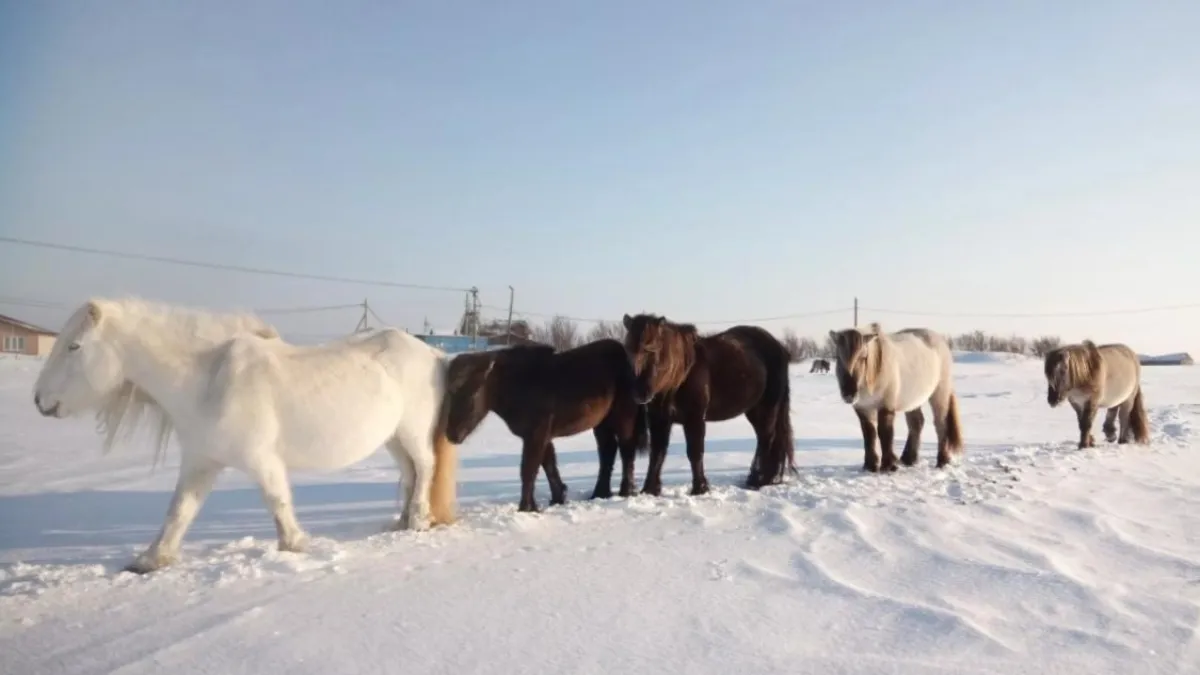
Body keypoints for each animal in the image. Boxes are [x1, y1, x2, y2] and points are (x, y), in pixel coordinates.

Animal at [32, 296, 456, 569]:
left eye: (74, 346)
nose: (39, 400)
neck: (208, 380)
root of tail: (432, 353)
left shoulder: (262, 459)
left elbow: (277, 502)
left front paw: (295, 546)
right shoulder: (201, 462)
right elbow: (179, 511)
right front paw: (151, 559)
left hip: (412, 432)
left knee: (425, 467)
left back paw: (417, 520)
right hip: (392, 438)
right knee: (410, 472)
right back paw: (401, 520)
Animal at [444, 338, 652, 511]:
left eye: (471, 394)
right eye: (449, 394)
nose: (452, 434)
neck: (518, 383)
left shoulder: (537, 434)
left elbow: (528, 469)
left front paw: (526, 508)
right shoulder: (540, 435)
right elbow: (548, 465)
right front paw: (557, 498)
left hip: (623, 419)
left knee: (626, 450)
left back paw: (626, 491)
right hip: (602, 424)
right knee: (607, 452)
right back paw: (600, 494)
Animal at [619, 312, 796, 494]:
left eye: (653, 349)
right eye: (628, 349)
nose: (640, 393)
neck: (681, 376)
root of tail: (778, 346)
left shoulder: (695, 419)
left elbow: (695, 452)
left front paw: (699, 488)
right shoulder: (659, 420)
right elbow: (657, 453)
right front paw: (650, 489)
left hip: (769, 406)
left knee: (767, 438)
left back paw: (758, 480)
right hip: (754, 409)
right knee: (763, 437)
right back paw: (759, 478)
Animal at [825, 321, 964, 470]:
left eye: (863, 357)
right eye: (838, 357)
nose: (849, 394)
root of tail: (941, 341)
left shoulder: (886, 406)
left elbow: (885, 432)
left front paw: (888, 465)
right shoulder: (863, 408)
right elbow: (869, 434)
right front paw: (870, 465)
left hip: (939, 393)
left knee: (940, 424)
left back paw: (942, 460)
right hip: (913, 400)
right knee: (916, 423)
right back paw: (909, 459)